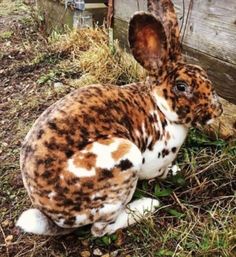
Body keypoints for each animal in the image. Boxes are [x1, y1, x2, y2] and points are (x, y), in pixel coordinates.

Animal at [16, 0, 221, 236]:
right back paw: (147, 206)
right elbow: (158, 173)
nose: (218, 110)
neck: (159, 105)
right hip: (124, 161)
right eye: (181, 87)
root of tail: (54, 216)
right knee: (100, 229)